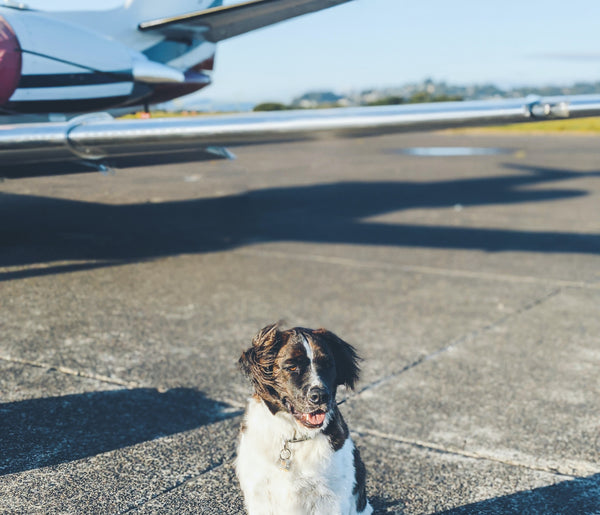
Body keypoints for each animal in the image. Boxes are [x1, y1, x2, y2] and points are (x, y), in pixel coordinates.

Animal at [234, 326, 370, 515]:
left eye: (327, 365)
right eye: (292, 367)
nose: (320, 396)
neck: (293, 437)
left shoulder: (331, 498)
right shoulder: (259, 491)